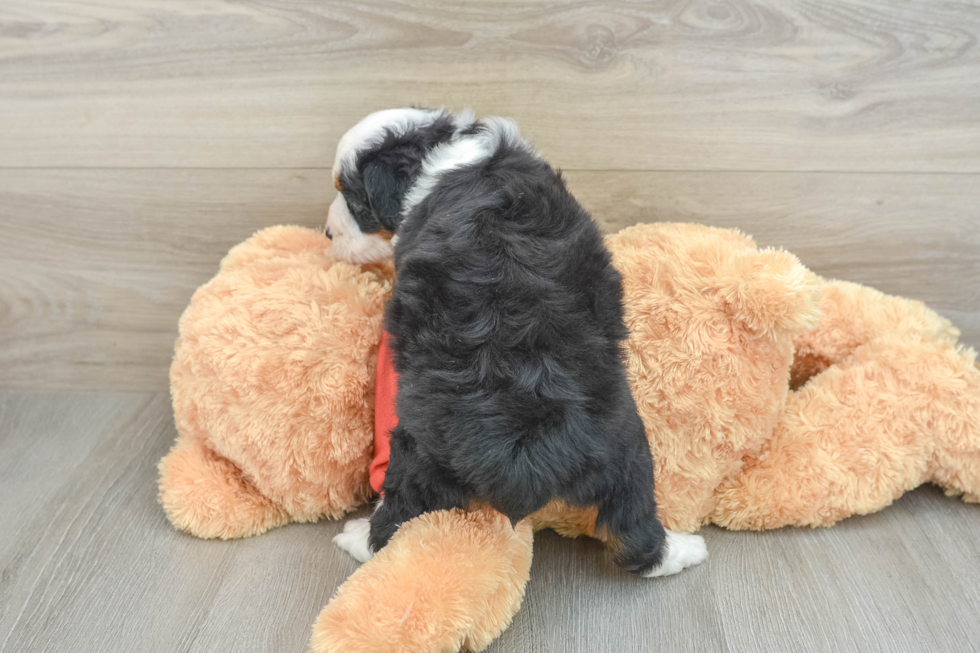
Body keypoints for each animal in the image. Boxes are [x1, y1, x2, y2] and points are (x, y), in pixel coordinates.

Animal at [330, 107, 704, 576]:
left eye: (355, 201)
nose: (327, 234)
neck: (443, 149)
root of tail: (526, 446)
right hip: (629, 444)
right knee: (636, 532)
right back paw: (684, 550)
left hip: (416, 447)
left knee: (398, 518)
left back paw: (357, 537)